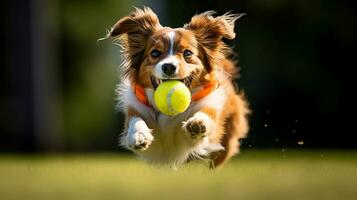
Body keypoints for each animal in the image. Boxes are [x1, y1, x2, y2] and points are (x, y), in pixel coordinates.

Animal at [107, 7, 249, 168]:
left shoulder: (209, 110)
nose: (169, 66)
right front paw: (139, 135)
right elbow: (135, 121)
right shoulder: (136, 108)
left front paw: (197, 123)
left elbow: (205, 117)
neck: (169, 114)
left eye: (187, 53)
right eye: (155, 53)